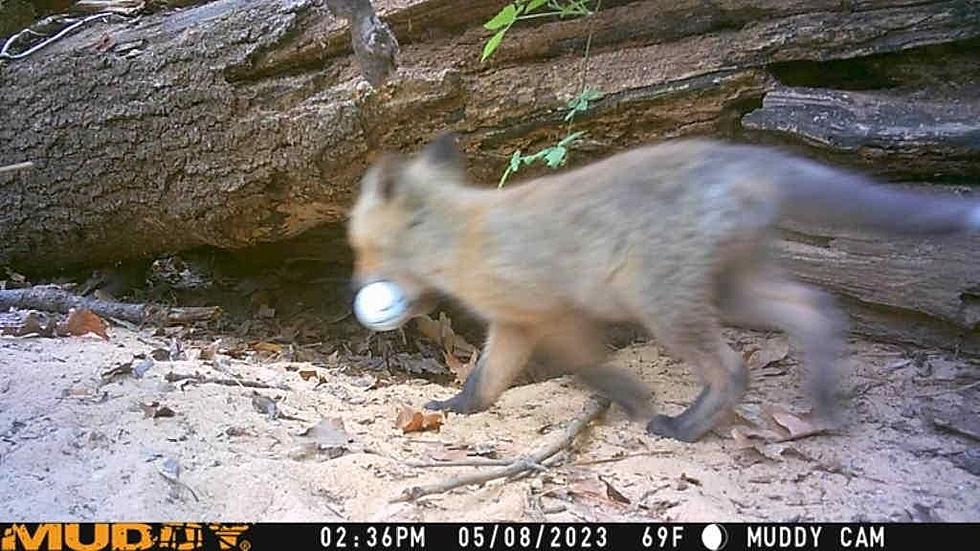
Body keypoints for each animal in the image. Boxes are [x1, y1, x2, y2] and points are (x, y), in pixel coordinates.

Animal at [346, 135, 980, 444]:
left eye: (358, 249)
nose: (352, 285)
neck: (464, 234)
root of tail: (737, 157)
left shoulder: (552, 315)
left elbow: (591, 368)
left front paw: (634, 399)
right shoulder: (516, 325)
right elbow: (484, 382)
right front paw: (454, 407)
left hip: (665, 306)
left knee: (733, 370)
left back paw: (684, 429)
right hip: (732, 290)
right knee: (815, 308)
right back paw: (824, 402)